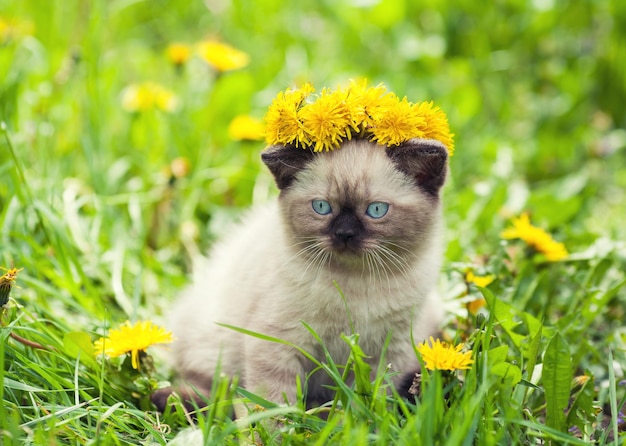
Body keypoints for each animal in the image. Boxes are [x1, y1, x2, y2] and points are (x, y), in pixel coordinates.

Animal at [156, 138, 448, 410]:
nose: (344, 234)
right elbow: (272, 408)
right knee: (212, 391)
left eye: (376, 210)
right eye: (321, 207)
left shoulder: (389, 353)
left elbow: (367, 405)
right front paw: (277, 428)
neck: (355, 286)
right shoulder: (278, 343)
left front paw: (356, 424)